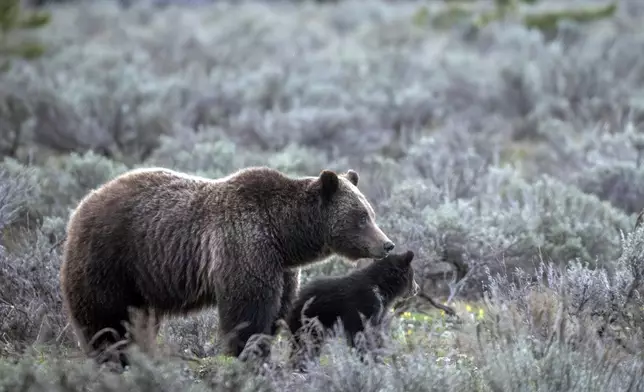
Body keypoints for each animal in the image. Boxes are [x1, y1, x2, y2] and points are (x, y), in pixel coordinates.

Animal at [60, 167, 394, 366]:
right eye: (361, 217)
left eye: (371, 213)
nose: (387, 244)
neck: (284, 235)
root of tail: (83, 203)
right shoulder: (245, 246)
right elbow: (247, 311)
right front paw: (247, 357)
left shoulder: (282, 268)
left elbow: (276, 312)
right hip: (111, 259)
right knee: (105, 318)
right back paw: (112, 358)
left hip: (141, 281)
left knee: (137, 320)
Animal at [286, 250, 418, 366]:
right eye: (412, 274)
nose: (417, 289)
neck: (381, 288)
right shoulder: (363, 305)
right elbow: (360, 333)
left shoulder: (379, 312)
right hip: (311, 321)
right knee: (307, 344)